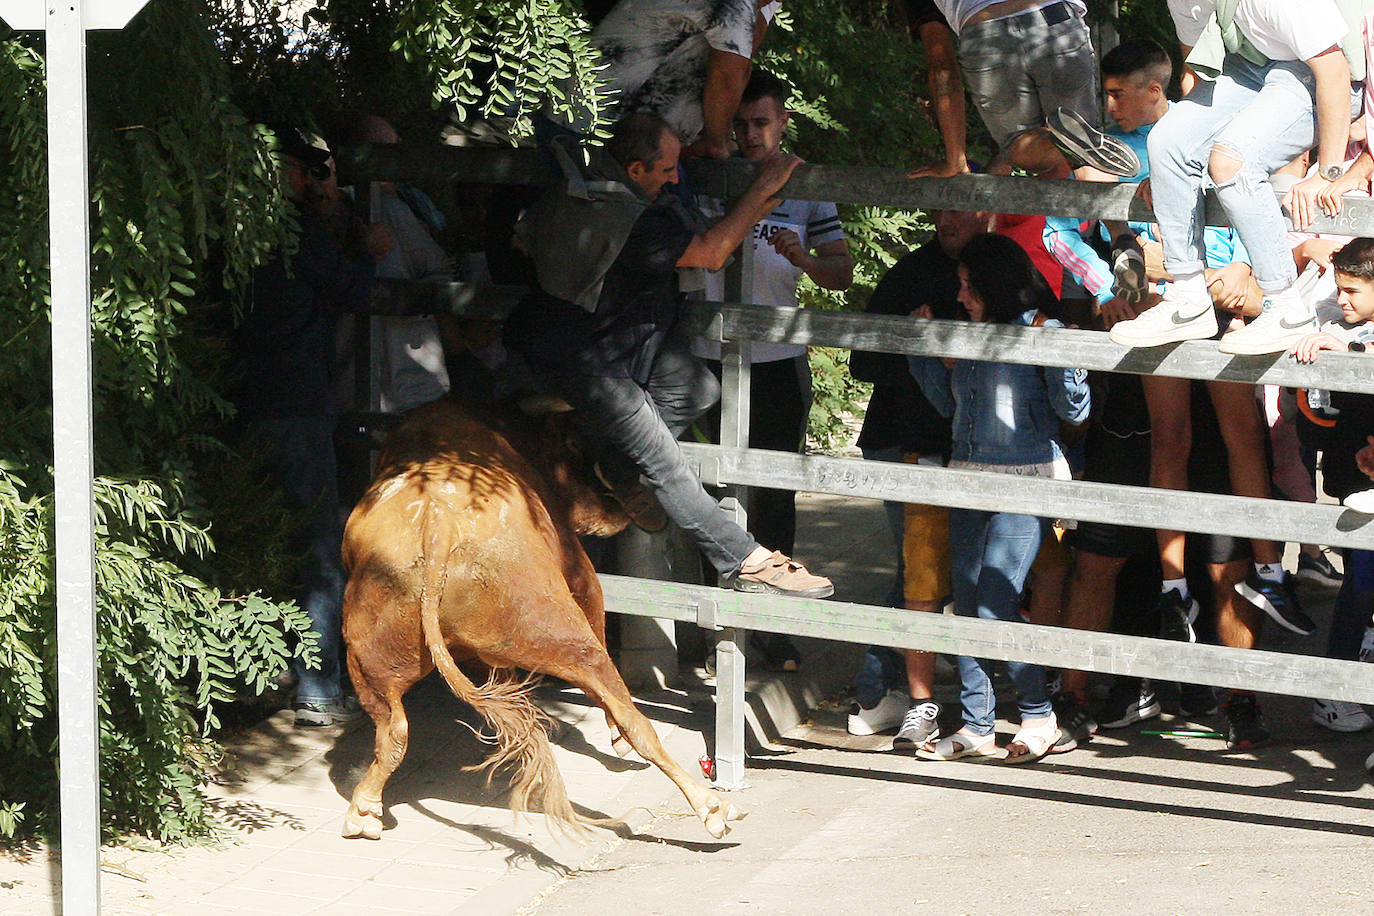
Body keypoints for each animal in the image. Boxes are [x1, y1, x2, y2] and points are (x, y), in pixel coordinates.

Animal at [339, 398, 747, 840]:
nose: (640, 510)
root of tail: (437, 524)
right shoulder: (579, 570)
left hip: (373, 657)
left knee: (393, 730)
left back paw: (364, 810)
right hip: (561, 631)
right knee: (630, 715)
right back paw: (712, 807)